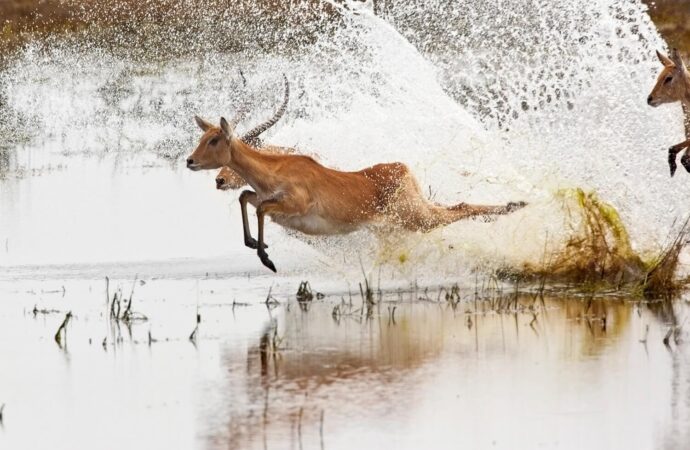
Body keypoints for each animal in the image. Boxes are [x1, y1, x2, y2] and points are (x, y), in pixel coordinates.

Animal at [185, 116, 524, 272]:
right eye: (202, 136)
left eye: (215, 139)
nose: (190, 161)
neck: (277, 168)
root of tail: (401, 167)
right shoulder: (273, 203)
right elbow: (246, 197)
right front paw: (258, 244)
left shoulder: (293, 206)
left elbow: (257, 207)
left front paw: (266, 257)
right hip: (408, 218)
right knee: (452, 206)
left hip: (417, 218)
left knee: (460, 207)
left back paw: (517, 204)